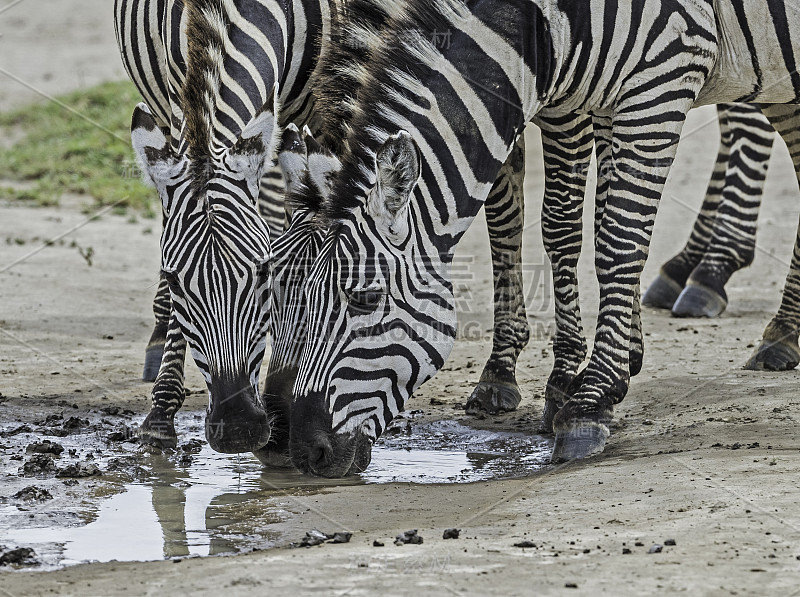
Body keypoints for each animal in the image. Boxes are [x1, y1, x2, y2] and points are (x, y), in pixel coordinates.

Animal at [264, 0, 800, 474]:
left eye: (366, 298)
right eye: (281, 295)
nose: (303, 451)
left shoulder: (659, 76)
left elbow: (605, 235)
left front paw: (585, 398)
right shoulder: (572, 96)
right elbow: (537, 216)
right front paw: (592, 372)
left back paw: (717, 276)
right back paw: (783, 332)